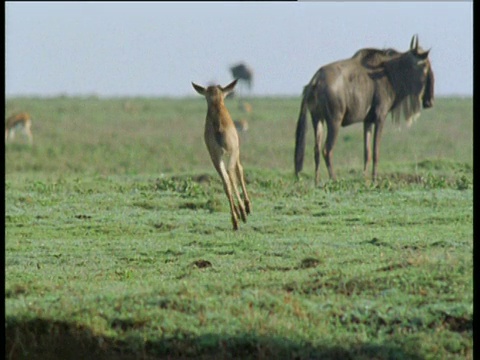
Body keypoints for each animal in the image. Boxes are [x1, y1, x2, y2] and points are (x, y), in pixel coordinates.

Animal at [192, 79, 253, 231]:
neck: (217, 105)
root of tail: (218, 127)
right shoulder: (236, 152)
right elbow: (240, 170)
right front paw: (247, 207)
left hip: (215, 157)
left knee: (225, 181)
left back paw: (235, 219)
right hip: (231, 154)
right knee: (231, 173)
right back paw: (243, 214)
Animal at [294, 34, 434, 184]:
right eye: (425, 65)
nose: (429, 101)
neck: (390, 74)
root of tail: (315, 80)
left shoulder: (368, 121)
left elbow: (367, 152)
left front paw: (365, 178)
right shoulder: (380, 117)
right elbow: (376, 151)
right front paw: (374, 179)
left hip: (317, 119)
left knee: (317, 149)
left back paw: (317, 181)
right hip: (334, 121)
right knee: (327, 149)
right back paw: (334, 179)